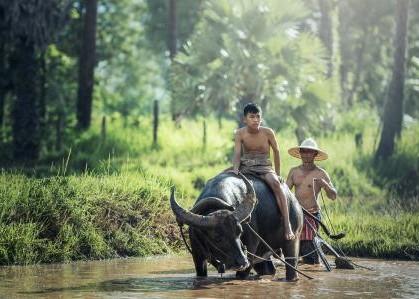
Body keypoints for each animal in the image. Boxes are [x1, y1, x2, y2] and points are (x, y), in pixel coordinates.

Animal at [171, 172, 306, 282]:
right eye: (217, 238)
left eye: (239, 232)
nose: (242, 262)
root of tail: (294, 200)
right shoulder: (197, 256)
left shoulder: (250, 252)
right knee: (269, 270)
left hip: (293, 240)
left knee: (291, 265)